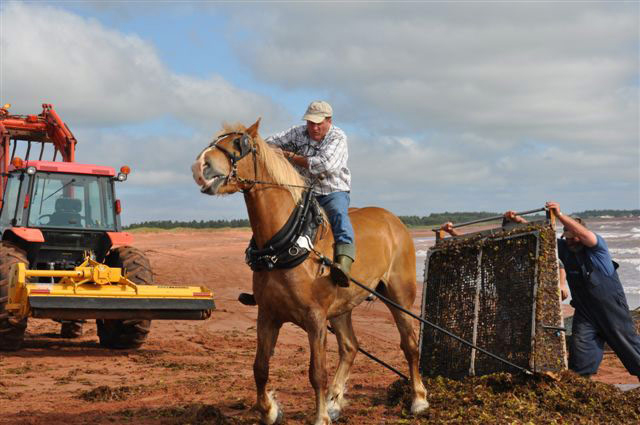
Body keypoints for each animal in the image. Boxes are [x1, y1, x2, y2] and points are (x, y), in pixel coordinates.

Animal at [191, 119, 428, 425]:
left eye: (240, 143)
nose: (200, 166)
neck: (286, 244)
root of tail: (393, 221)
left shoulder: (315, 318)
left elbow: (317, 372)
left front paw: (320, 416)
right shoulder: (268, 314)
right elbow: (260, 367)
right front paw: (269, 410)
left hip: (399, 296)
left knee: (409, 345)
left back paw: (418, 399)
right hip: (341, 308)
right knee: (350, 347)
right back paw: (335, 402)